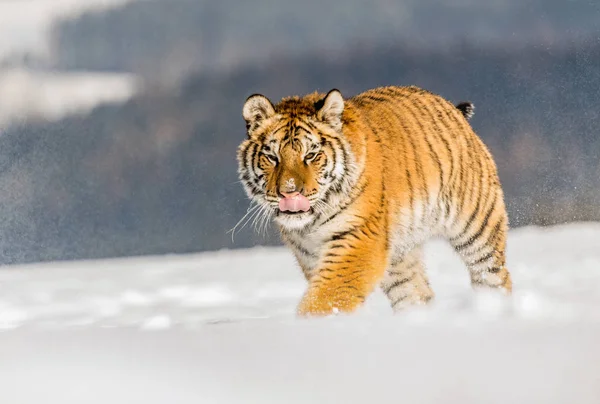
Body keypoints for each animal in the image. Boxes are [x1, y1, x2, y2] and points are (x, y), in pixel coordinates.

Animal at [237, 85, 512, 318]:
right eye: (272, 157)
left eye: (311, 155)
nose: (290, 192)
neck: (310, 224)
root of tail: (452, 109)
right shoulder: (309, 254)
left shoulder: (357, 238)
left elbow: (326, 298)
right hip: (401, 256)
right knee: (417, 294)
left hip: (477, 227)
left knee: (494, 275)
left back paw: (492, 308)